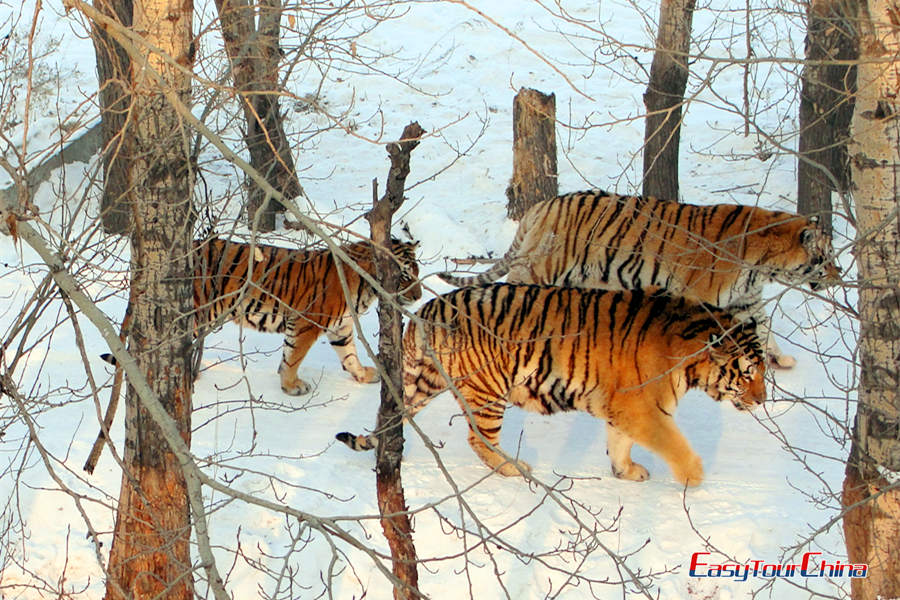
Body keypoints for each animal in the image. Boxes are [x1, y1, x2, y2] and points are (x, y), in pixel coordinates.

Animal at [194, 236, 422, 395]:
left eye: (417, 272)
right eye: (405, 275)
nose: (419, 296)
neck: (366, 287)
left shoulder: (341, 327)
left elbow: (349, 354)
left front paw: (363, 374)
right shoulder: (306, 323)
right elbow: (293, 357)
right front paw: (291, 386)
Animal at [337, 283, 766, 487]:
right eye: (748, 373)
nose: (763, 399)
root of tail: (425, 311)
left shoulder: (622, 405)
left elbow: (619, 442)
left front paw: (626, 472)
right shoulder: (644, 408)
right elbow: (673, 443)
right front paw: (694, 478)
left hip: (425, 382)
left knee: (393, 418)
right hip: (489, 391)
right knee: (479, 438)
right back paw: (514, 468)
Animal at [438, 190, 841, 369]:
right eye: (825, 257)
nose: (839, 276)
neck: (763, 263)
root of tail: (542, 205)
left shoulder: (747, 299)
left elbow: (765, 326)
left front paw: (780, 359)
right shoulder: (706, 295)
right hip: (540, 269)